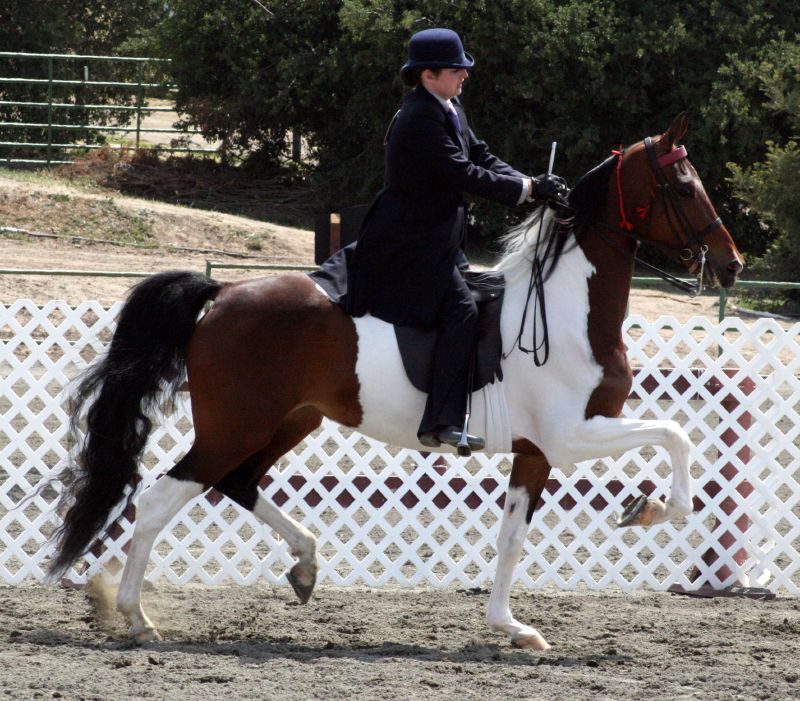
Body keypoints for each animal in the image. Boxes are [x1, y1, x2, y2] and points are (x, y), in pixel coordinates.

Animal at [47, 110, 740, 652]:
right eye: (683, 186)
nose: (731, 265)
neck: (570, 305)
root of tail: (225, 293)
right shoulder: (571, 435)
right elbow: (675, 434)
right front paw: (650, 510)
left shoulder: (537, 452)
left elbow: (512, 539)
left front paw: (511, 628)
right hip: (237, 425)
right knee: (161, 498)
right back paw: (138, 618)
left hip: (288, 420)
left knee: (238, 483)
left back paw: (304, 567)